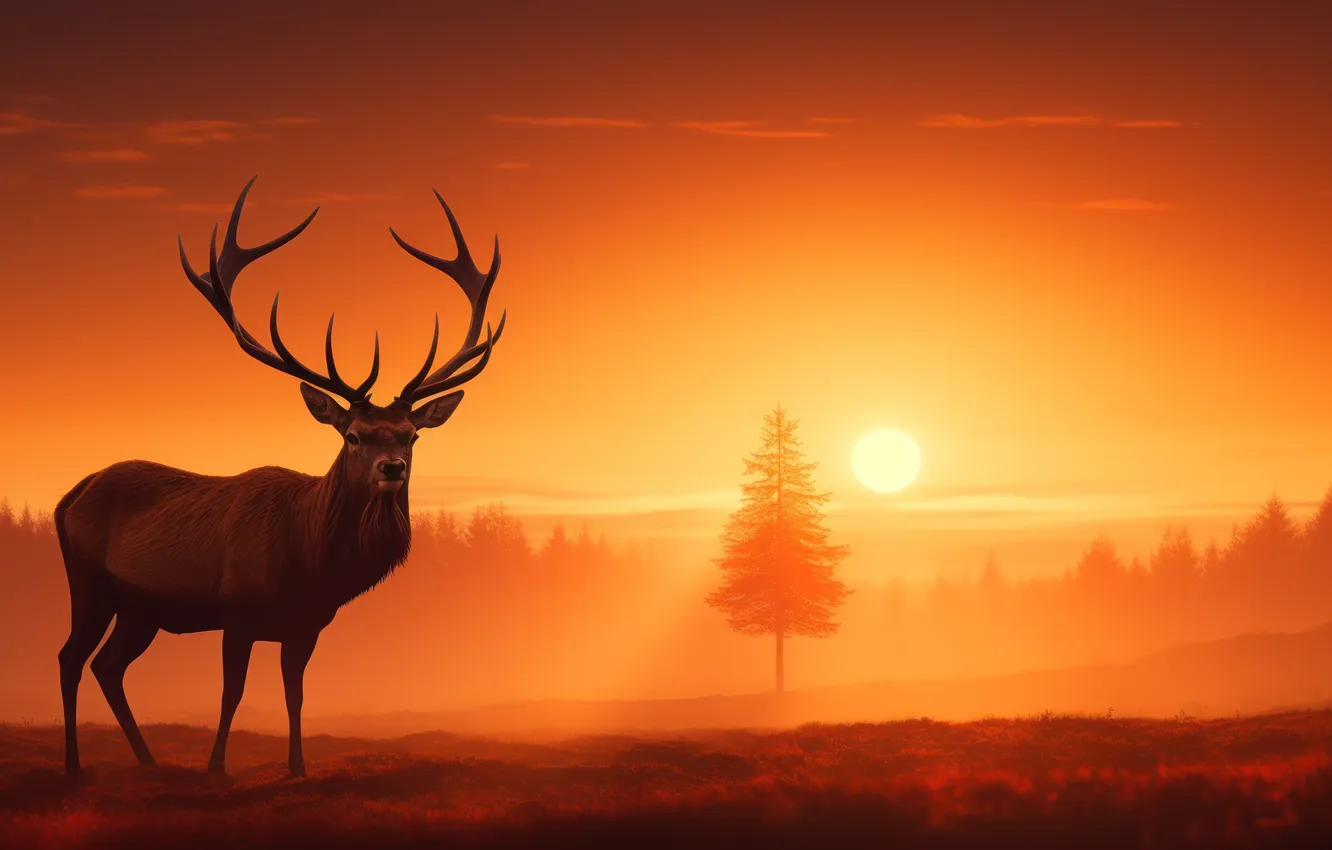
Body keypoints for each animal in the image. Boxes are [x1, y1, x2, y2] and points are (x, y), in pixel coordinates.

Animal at [54, 176, 506, 778]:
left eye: (410, 434)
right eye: (354, 435)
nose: (392, 468)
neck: (309, 559)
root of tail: (71, 494)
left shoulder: (307, 625)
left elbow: (295, 693)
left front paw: (296, 766)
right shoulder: (237, 610)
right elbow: (232, 692)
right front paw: (216, 767)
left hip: (141, 607)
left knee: (108, 665)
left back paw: (148, 762)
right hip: (89, 581)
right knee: (71, 656)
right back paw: (75, 766)